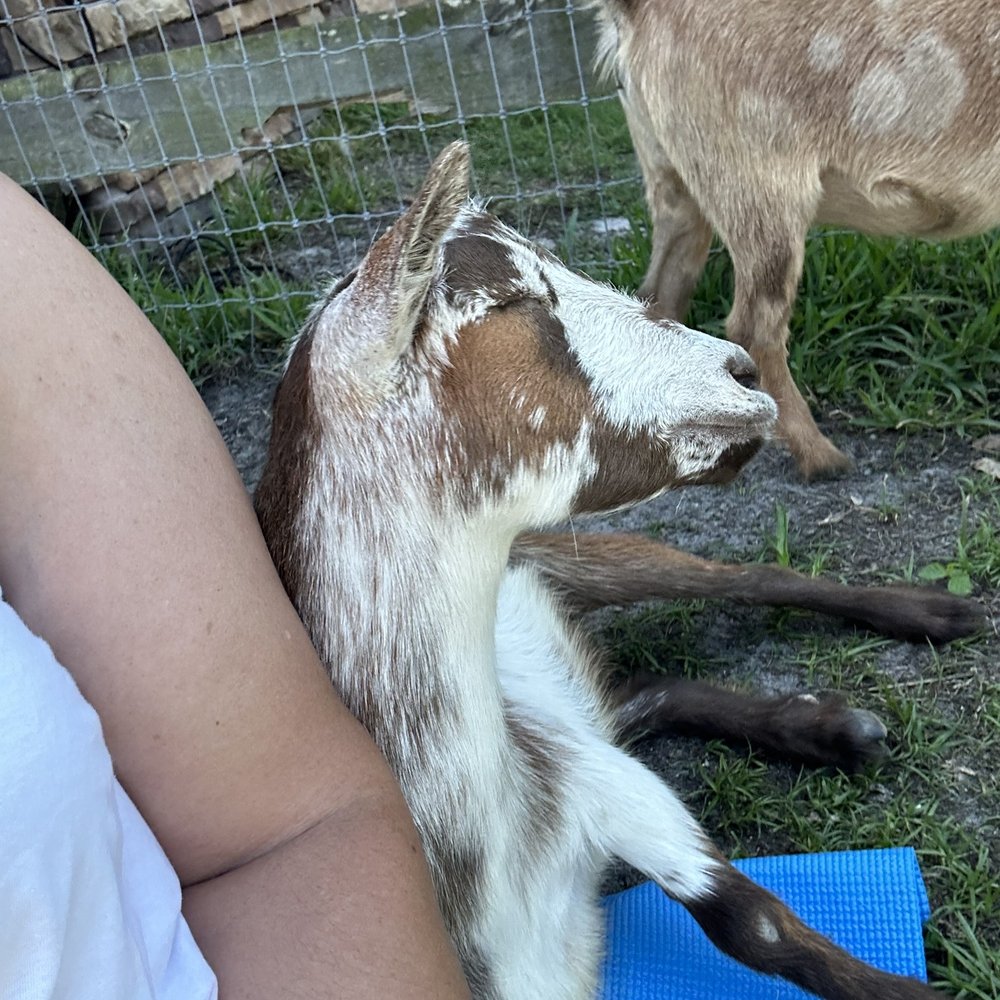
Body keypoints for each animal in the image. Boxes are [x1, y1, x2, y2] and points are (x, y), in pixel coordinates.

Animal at [255, 142, 971, 999]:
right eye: (517, 300)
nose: (741, 371)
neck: (488, 869)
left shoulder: (603, 782)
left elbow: (751, 921)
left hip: (594, 556)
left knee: (747, 580)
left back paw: (930, 619)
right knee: (643, 691)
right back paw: (828, 727)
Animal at [595, 0, 1000, 479]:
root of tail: (636, 10)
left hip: (673, 177)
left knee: (661, 296)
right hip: (759, 183)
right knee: (755, 324)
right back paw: (822, 457)